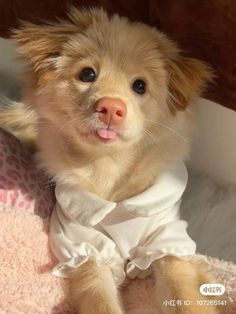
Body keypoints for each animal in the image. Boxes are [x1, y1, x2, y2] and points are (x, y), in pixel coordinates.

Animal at [0, 7, 219, 314]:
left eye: (140, 86)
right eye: (87, 74)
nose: (110, 107)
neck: (109, 169)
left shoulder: (167, 241)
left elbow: (182, 291)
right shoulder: (82, 246)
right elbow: (99, 297)